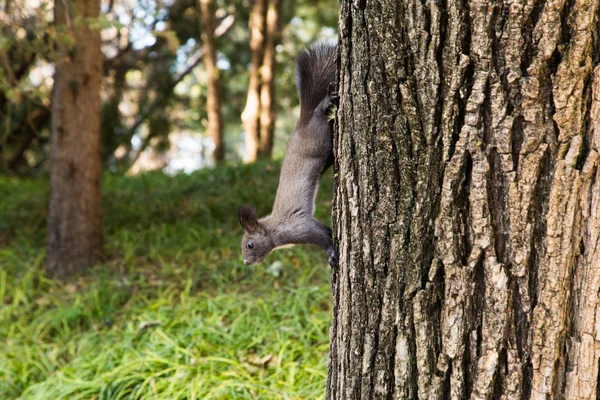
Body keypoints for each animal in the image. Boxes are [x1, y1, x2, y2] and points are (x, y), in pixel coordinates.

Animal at [237, 41, 338, 266]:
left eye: (250, 245)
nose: (246, 262)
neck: (274, 230)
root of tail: (303, 122)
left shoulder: (299, 228)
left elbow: (320, 236)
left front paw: (331, 252)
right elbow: (325, 230)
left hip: (318, 141)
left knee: (319, 112)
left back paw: (326, 102)